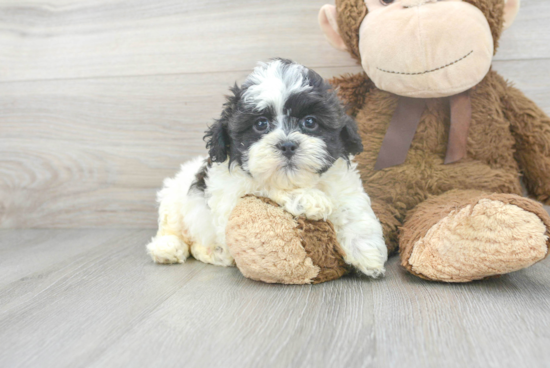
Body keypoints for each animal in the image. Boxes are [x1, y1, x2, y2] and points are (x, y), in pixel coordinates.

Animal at [147, 58, 388, 276]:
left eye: (310, 122)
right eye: (260, 124)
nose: (287, 145)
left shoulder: (343, 183)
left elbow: (352, 209)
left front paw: (366, 252)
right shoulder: (230, 196)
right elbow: (262, 186)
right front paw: (309, 199)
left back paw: (216, 253)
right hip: (175, 197)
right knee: (172, 227)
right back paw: (169, 248)